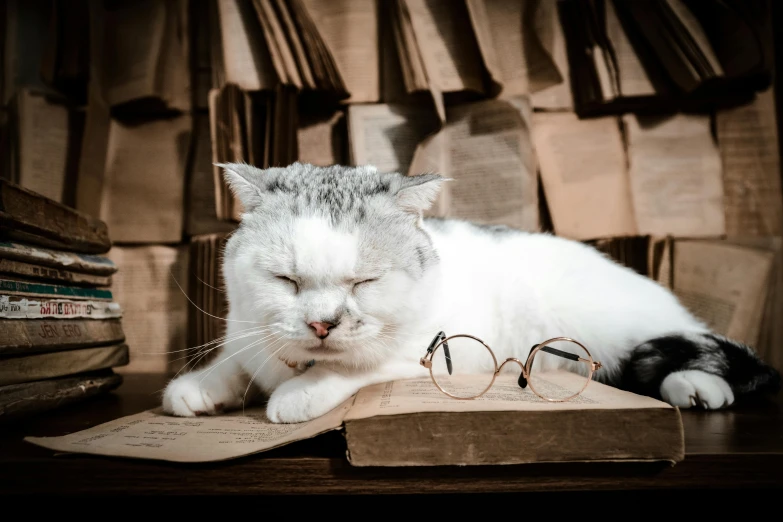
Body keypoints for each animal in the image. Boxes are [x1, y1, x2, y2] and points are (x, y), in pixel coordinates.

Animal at [162, 164, 780, 422]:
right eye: (286, 281)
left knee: (677, 347)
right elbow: (234, 361)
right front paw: (198, 388)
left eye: (364, 282)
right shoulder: (245, 333)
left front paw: (297, 395)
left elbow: (352, 366)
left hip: (612, 327)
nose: (321, 324)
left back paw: (697, 387)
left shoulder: (437, 352)